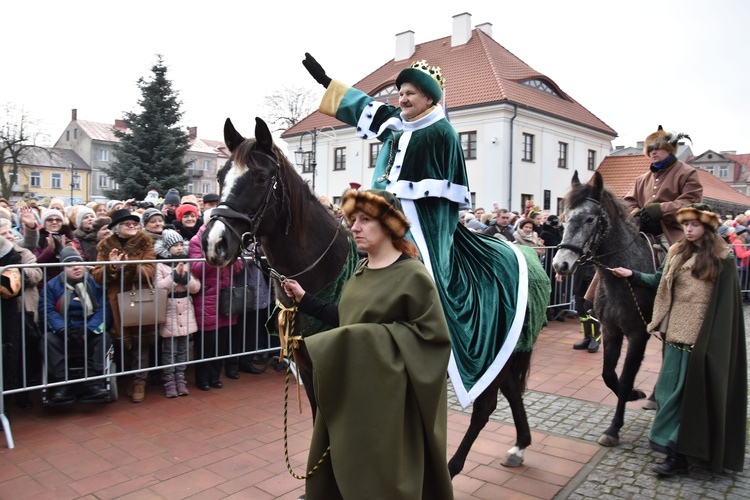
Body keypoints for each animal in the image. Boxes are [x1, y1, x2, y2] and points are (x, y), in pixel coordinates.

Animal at [203, 116, 548, 476]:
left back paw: (453, 467)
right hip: (504, 352)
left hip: (492, 354)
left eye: (260, 177)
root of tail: (524, 252)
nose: (214, 244)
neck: (329, 268)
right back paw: (519, 445)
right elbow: (317, 420)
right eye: (221, 176)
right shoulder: (309, 369)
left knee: (485, 406)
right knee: (512, 390)